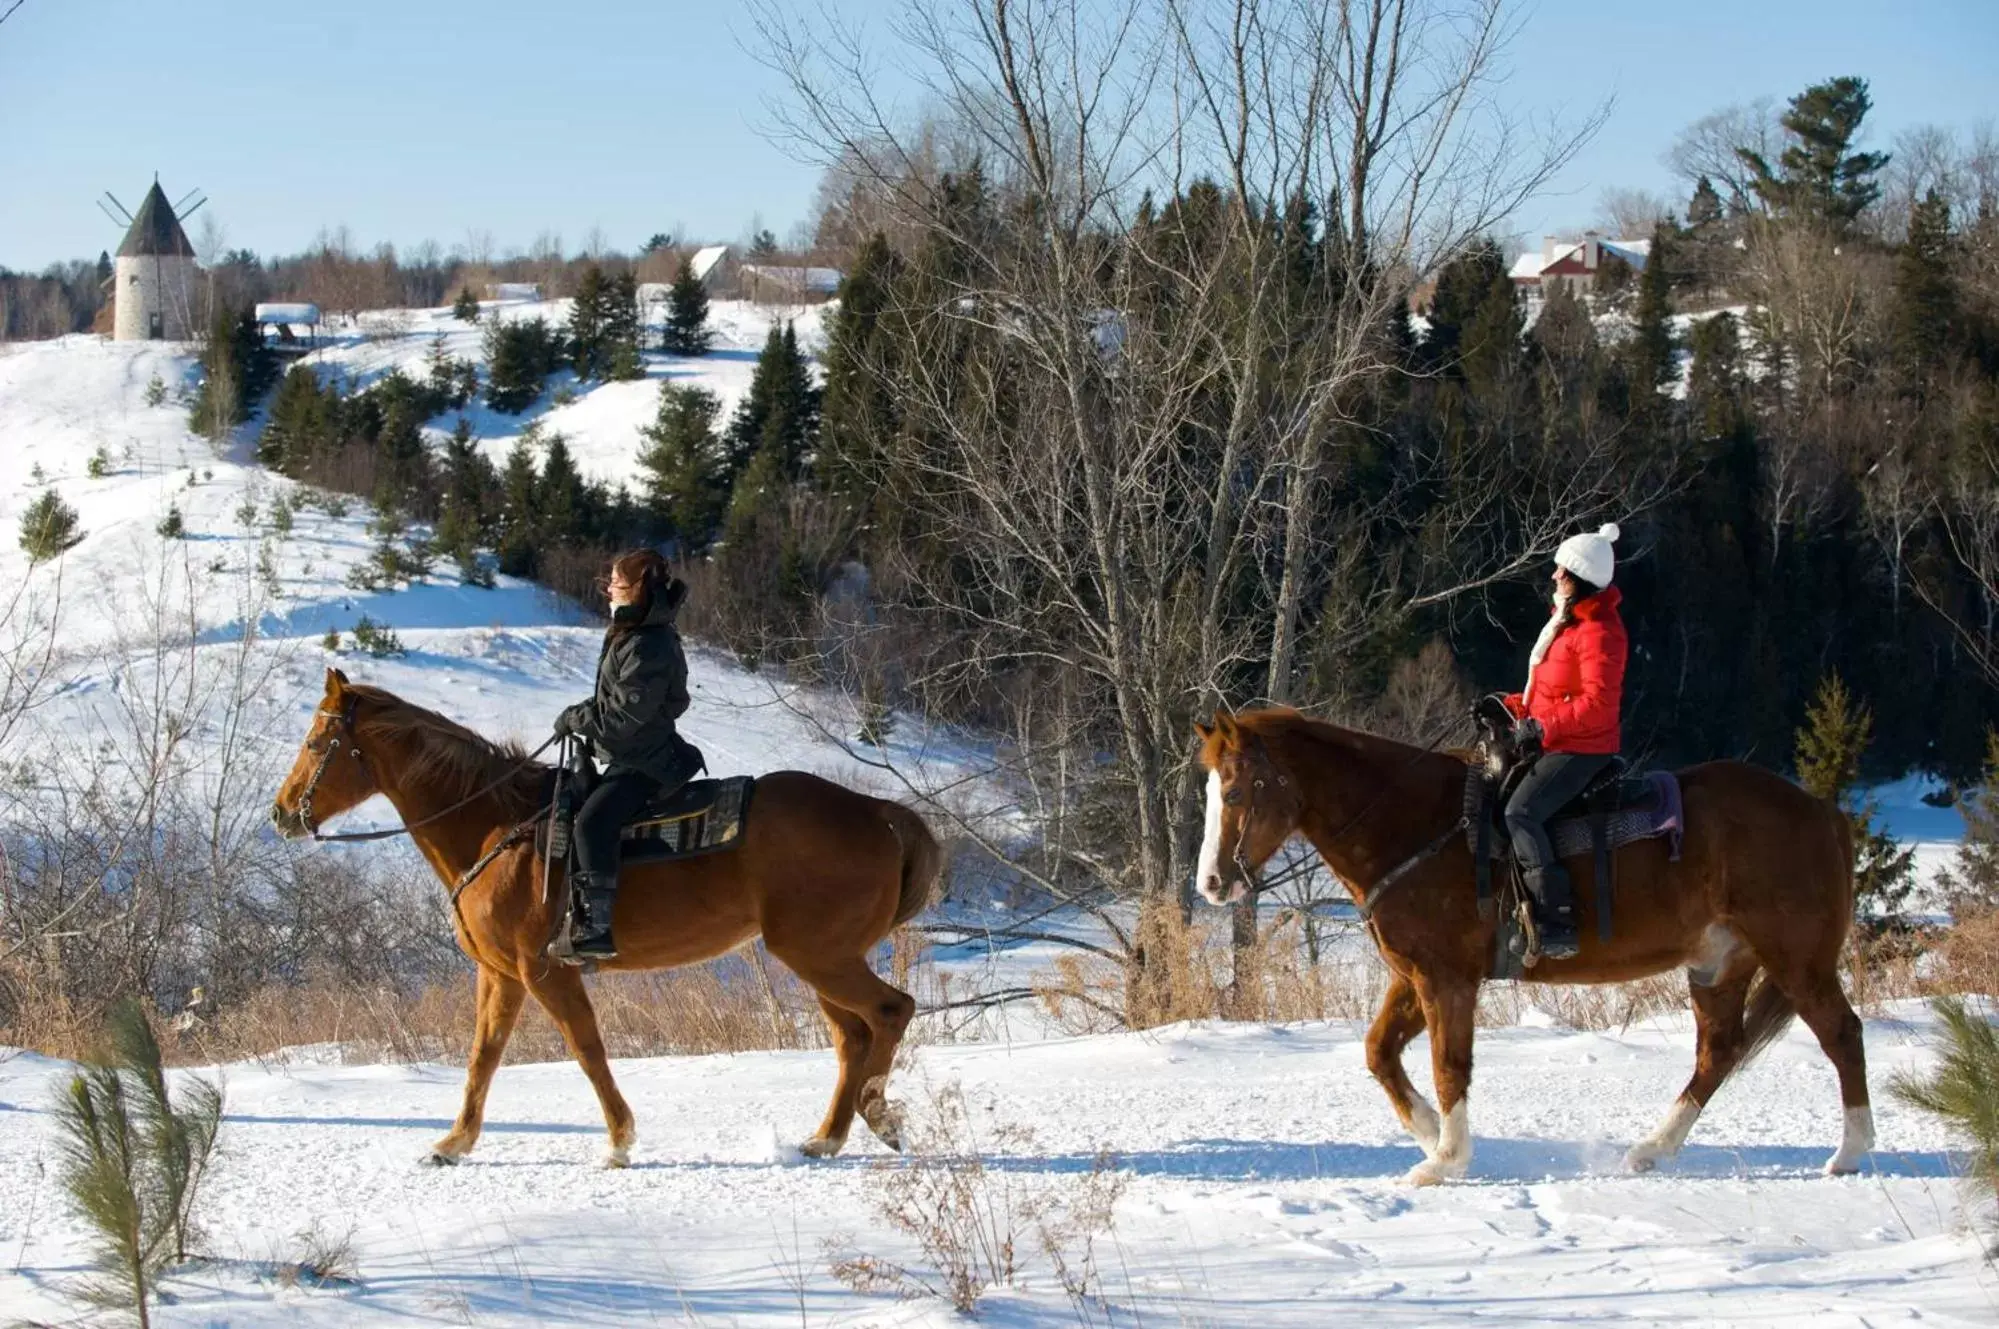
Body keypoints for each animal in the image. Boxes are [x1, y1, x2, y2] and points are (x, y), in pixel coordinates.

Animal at [267, 667, 943, 1167]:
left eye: (316, 743)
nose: (282, 813)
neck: (495, 828)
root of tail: (877, 812)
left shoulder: (545, 971)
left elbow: (585, 1048)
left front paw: (619, 1141)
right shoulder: (501, 975)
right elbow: (483, 1056)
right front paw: (453, 1144)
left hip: (818, 955)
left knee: (891, 1012)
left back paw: (879, 1116)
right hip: (820, 958)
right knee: (853, 1036)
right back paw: (826, 1136)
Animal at [1191, 711, 1863, 1183]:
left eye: (1237, 791)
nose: (1212, 883)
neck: (1416, 828)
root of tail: (1821, 811)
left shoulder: (1447, 980)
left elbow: (1449, 1066)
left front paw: (1446, 1159)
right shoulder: (1414, 978)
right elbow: (1380, 1053)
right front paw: (1431, 1134)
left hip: (1796, 960)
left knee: (1841, 1034)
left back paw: (1851, 1151)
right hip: (1717, 965)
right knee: (1717, 1054)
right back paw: (1651, 1149)